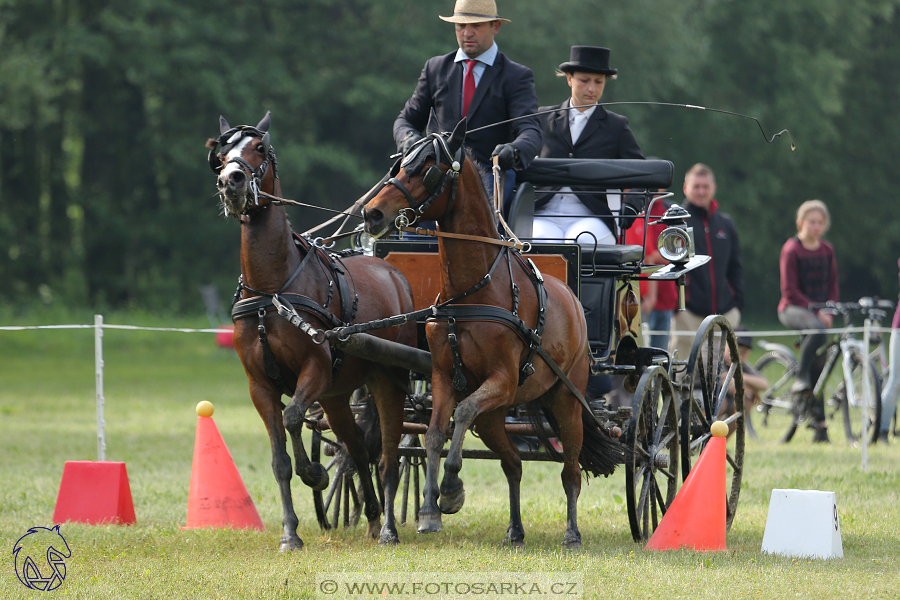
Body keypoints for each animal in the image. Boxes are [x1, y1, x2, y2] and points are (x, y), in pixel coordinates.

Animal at [207, 111, 414, 548]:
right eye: (222, 154)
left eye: (260, 148)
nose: (231, 181)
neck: (272, 291)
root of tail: (391, 270)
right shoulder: (260, 386)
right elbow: (279, 460)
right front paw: (290, 533)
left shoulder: (315, 368)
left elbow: (293, 418)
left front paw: (314, 474)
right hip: (338, 395)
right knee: (356, 447)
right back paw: (372, 517)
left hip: (389, 380)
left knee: (389, 453)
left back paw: (388, 526)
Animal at [362, 122, 624, 548]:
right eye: (399, 164)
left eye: (428, 168)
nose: (372, 212)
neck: (473, 290)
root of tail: (573, 300)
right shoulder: (443, 377)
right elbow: (435, 432)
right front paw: (429, 510)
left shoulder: (501, 379)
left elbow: (463, 413)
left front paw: (451, 489)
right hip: (498, 413)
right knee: (513, 462)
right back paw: (515, 530)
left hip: (566, 400)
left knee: (569, 469)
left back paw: (572, 533)